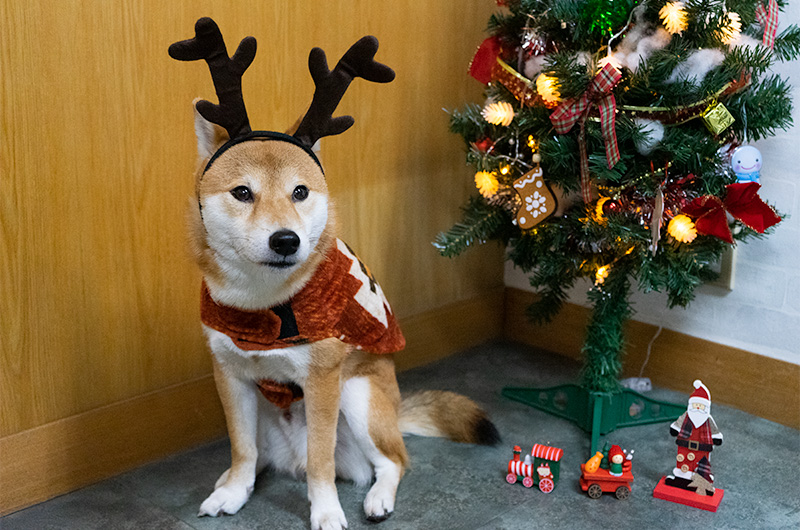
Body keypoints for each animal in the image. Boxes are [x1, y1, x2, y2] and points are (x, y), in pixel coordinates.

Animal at [172, 17, 496, 528]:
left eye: (300, 191)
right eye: (242, 192)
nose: (286, 240)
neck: (264, 306)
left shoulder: (323, 380)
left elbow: (321, 462)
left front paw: (325, 512)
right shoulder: (230, 375)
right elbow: (241, 450)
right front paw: (234, 492)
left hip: (358, 396)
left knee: (392, 462)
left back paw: (378, 498)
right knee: (261, 456)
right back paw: (232, 483)